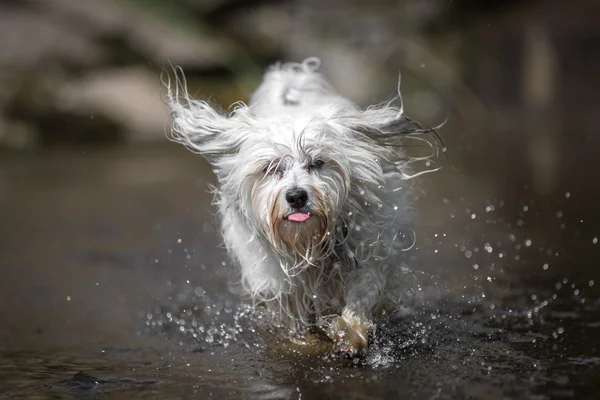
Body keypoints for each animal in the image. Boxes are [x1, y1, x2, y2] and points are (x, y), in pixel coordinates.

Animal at [162, 57, 438, 354]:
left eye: (317, 162)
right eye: (271, 168)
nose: (296, 196)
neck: (311, 243)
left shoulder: (371, 252)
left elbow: (362, 294)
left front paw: (350, 331)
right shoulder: (283, 286)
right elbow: (297, 322)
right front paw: (310, 341)